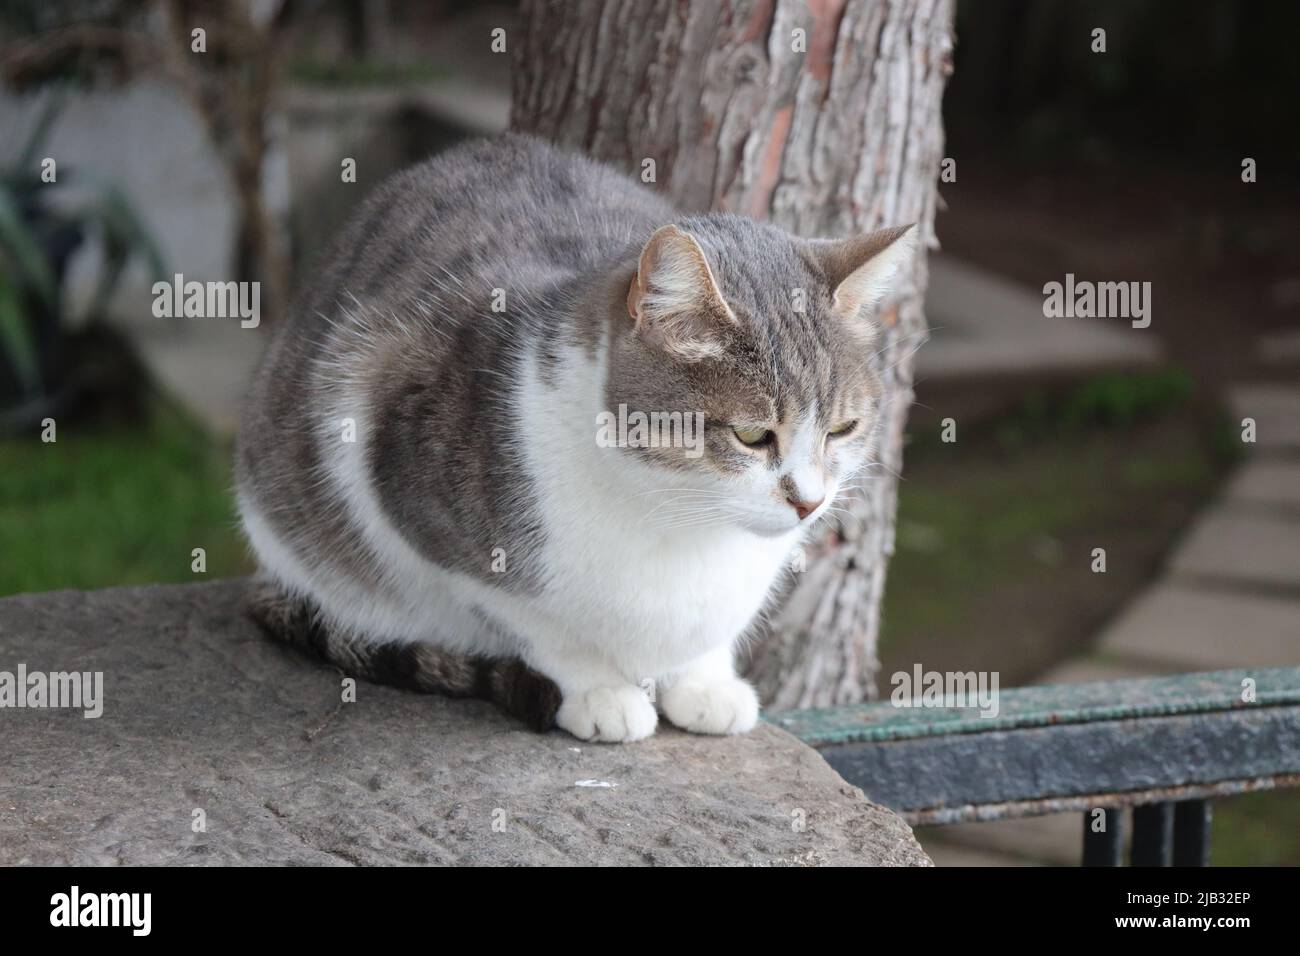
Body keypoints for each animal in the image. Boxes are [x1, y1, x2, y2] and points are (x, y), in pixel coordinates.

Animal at [236, 134, 915, 743]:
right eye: (752, 435)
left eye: (842, 429)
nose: (809, 502)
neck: (676, 514)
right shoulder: (416, 493)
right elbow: (537, 623)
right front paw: (599, 690)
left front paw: (704, 682)